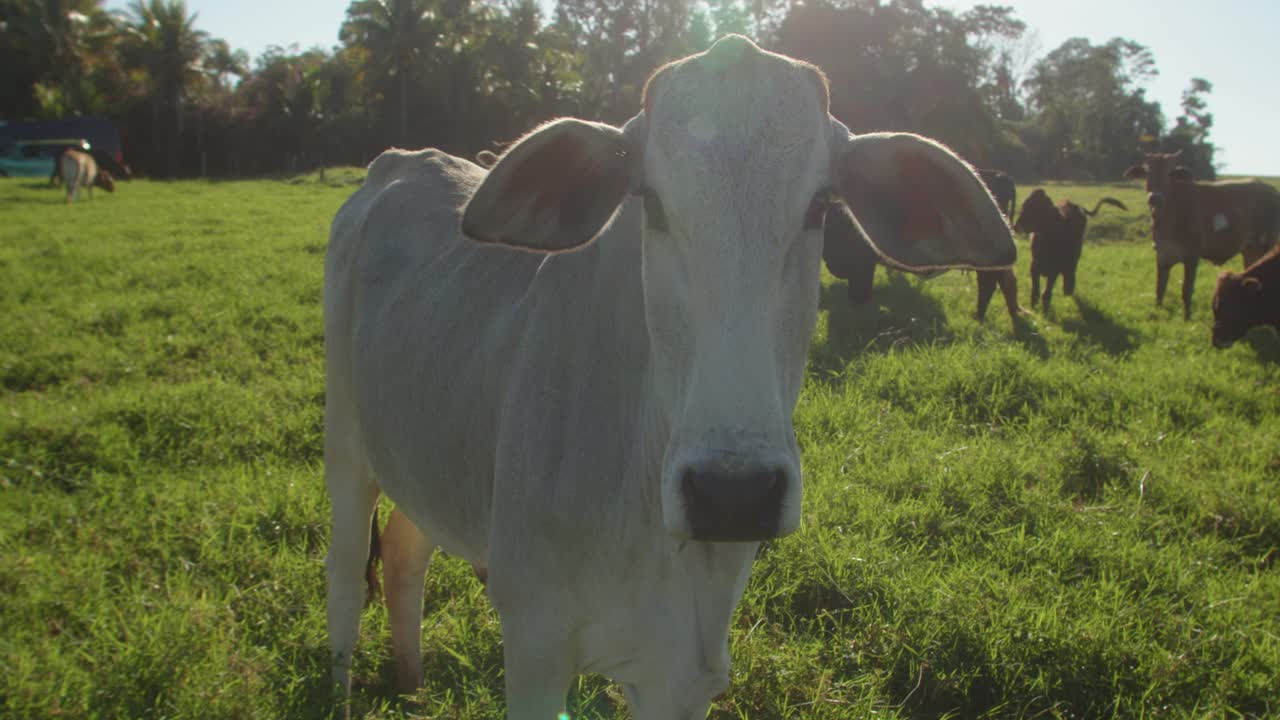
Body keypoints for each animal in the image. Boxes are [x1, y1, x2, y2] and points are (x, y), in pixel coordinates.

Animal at [822, 167, 1021, 321]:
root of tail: (1001, 175)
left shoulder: (861, 264)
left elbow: (859, 297)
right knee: (1007, 281)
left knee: (989, 284)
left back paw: (979, 316)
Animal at [1124, 151, 1280, 319]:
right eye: (1147, 172)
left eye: (1169, 172)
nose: (1155, 198)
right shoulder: (1162, 255)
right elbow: (1160, 288)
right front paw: (1157, 311)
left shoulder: (1192, 256)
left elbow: (1186, 290)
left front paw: (1186, 317)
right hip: (1250, 250)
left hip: (1266, 246)